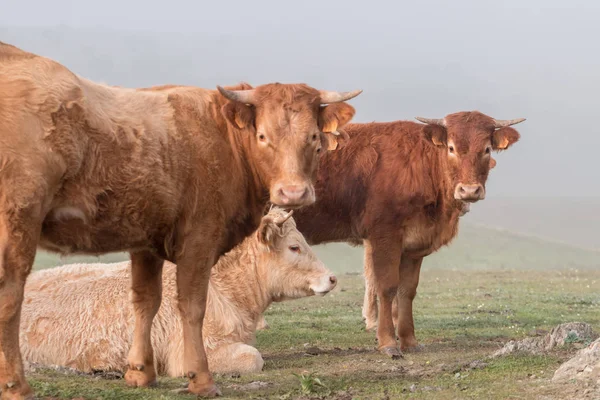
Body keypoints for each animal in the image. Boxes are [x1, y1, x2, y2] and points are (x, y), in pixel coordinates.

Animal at [294, 111, 524, 356]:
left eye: (487, 149)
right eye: (451, 148)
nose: (469, 190)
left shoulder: (413, 245)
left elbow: (407, 290)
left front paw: (409, 339)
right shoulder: (384, 236)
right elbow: (386, 287)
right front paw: (388, 342)